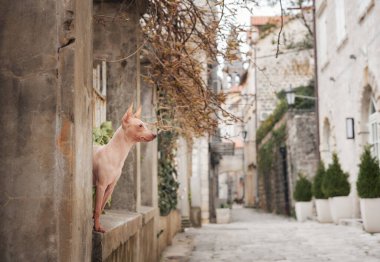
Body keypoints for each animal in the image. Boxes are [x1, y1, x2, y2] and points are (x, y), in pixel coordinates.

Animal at [93, 103, 157, 232]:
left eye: (145, 125)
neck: (114, 153)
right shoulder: (101, 185)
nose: (155, 135)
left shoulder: (110, 188)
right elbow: (97, 208)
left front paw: (96, 223)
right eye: (140, 125)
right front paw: (96, 227)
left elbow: (101, 207)